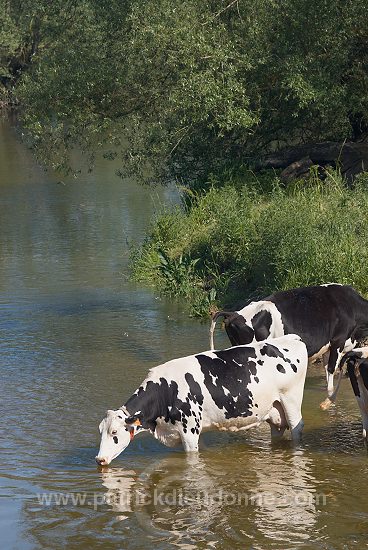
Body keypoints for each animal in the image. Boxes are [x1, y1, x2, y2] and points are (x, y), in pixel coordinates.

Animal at [95, 334, 308, 468]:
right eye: (101, 431)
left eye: (114, 432)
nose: (99, 459)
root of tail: (292, 338)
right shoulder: (194, 431)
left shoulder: (189, 431)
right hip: (274, 412)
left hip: (291, 400)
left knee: (296, 428)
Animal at [208, 284, 368, 406]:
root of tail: (234, 314)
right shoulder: (338, 341)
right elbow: (331, 369)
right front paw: (330, 397)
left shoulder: (327, 347)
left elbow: (327, 371)